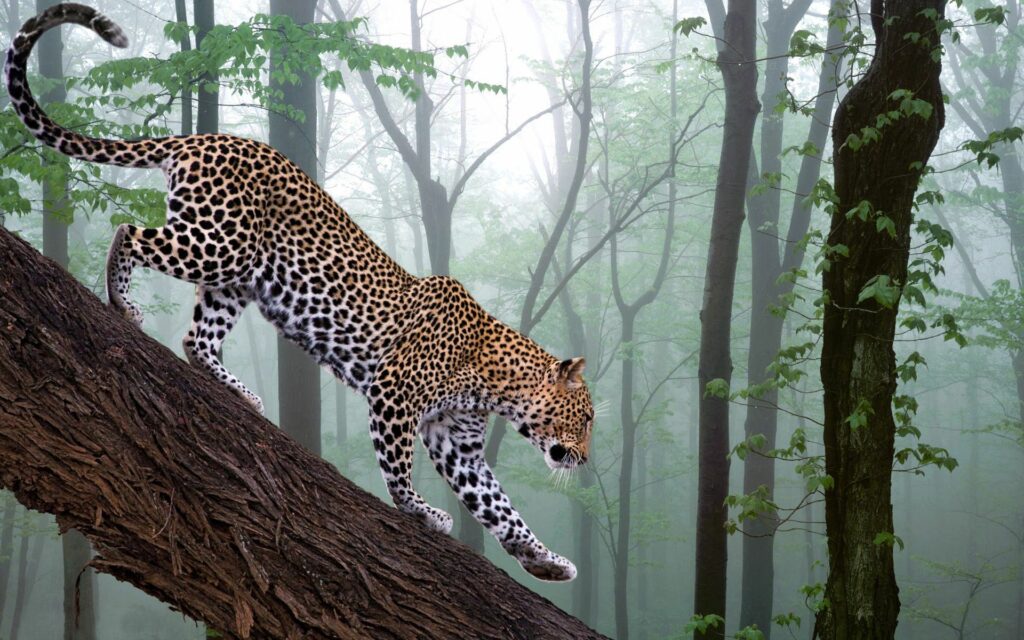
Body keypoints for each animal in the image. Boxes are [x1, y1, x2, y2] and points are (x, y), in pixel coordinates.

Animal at [6, 3, 595, 582]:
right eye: (586, 418)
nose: (585, 460)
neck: (496, 382)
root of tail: (206, 138)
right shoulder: (394, 394)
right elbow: (398, 468)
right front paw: (421, 512)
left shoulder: (459, 444)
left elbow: (500, 507)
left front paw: (544, 560)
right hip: (218, 244)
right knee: (129, 231)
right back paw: (123, 303)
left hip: (237, 278)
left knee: (197, 339)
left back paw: (240, 393)